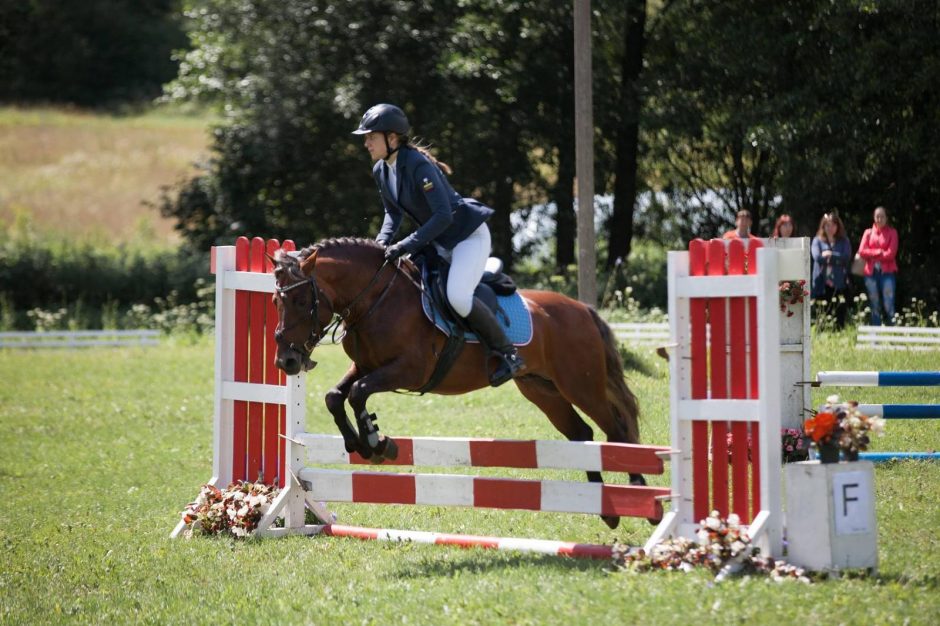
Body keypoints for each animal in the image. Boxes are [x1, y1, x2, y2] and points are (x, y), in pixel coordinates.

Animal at [272, 236, 648, 528]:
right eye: (276, 301)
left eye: (301, 300)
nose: (286, 361)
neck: (377, 298)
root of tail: (583, 309)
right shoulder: (364, 365)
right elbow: (336, 396)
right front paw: (359, 443)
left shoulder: (409, 370)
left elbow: (358, 393)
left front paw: (377, 443)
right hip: (543, 390)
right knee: (582, 433)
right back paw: (605, 509)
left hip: (581, 385)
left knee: (616, 431)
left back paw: (638, 495)